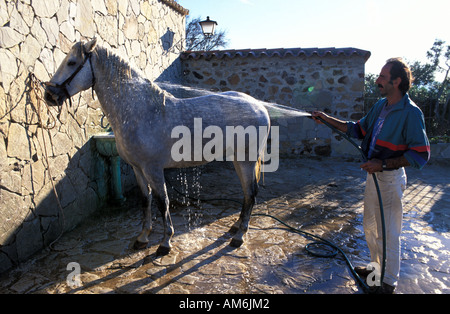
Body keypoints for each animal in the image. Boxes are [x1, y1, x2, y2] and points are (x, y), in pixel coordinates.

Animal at [44, 38, 270, 255]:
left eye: (72, 62)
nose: (49, 95)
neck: (141, 111)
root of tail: (259, 107)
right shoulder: (138, 169)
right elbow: (146, 200)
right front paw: (143, 238)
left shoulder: (153, 169)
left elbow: (163, 202)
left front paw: (165, 242)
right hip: (238, 160)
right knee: (247, 193)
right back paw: (236, 227)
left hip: (246, 160)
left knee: (251, 192)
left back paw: (239, 236)